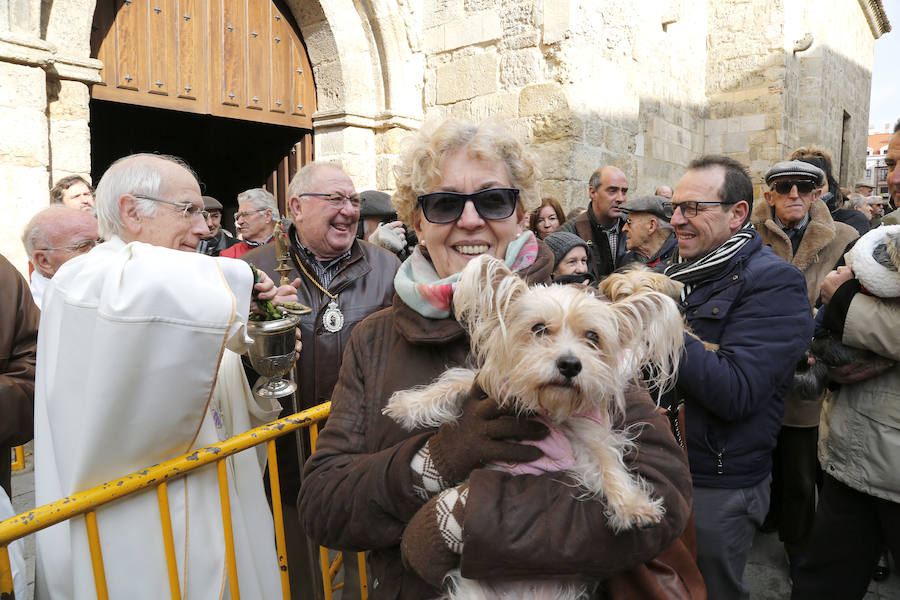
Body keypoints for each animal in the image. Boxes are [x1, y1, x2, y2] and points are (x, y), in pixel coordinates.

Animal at [384, 256, 684, 600]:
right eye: (539, 329)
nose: (570, 364)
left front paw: (634, 505)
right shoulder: (489, 387)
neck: (547, 408)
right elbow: (452, 383)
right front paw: (408, 405)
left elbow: (607, 463)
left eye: (592, 337)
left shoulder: (587, 432)